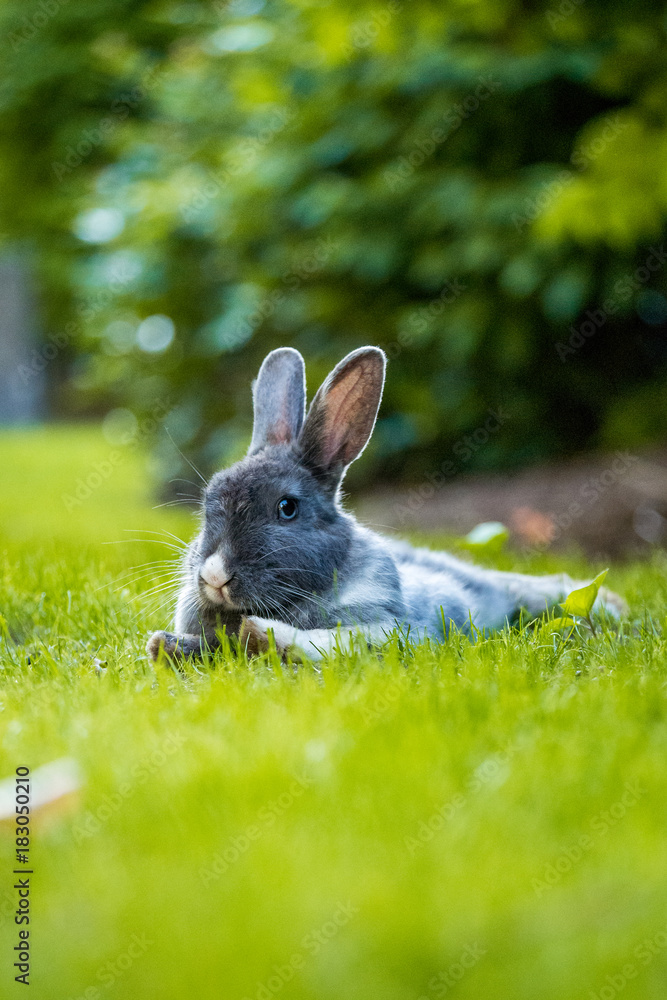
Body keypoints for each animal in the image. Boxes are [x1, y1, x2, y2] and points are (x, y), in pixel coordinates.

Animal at [147, 346, 626, 663]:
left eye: (287, 508)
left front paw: (260, 635)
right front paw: (163, 645)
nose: (214, 576)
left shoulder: (393, 627)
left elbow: (327, 642)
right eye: (209, 499)